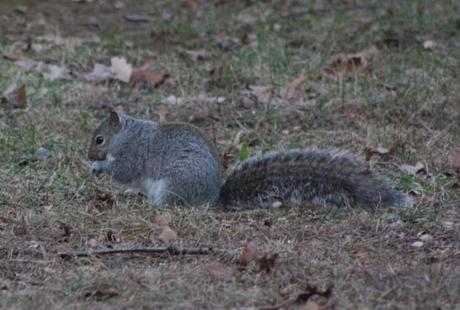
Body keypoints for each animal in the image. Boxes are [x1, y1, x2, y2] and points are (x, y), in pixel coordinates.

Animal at [88, 111, 412, 211]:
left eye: (99, 139)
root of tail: (213, 200)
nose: (88, 155)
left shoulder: (133, 153)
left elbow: (124, 171)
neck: (128, 134)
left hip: (173, 185)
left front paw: (99, 167)